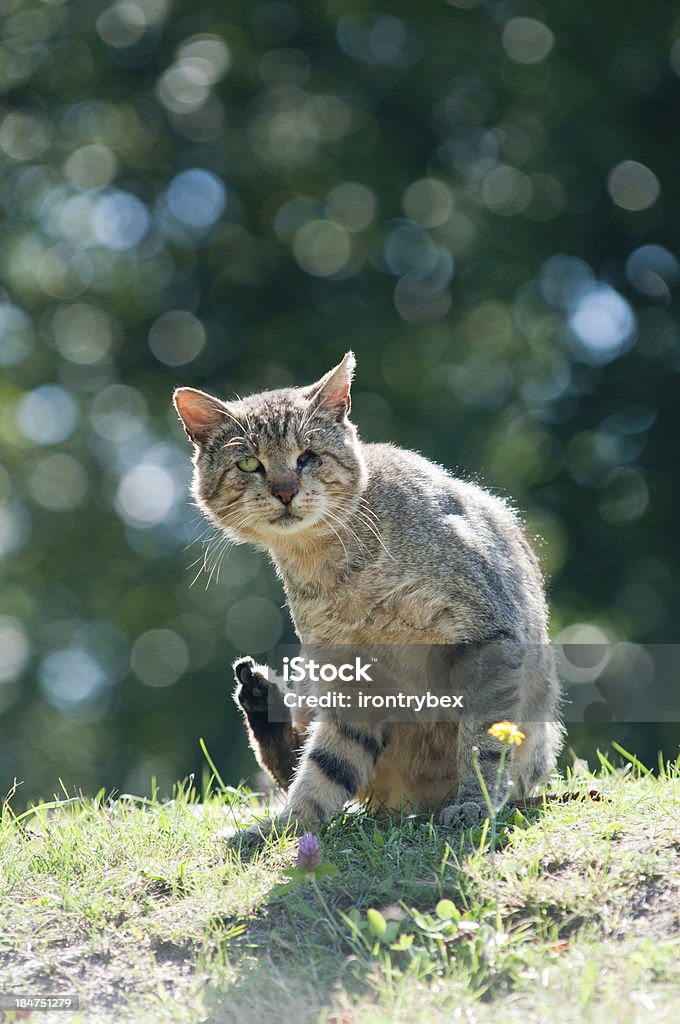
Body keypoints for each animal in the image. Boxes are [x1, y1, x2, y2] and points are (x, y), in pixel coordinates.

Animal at [175, 356, 561, 843]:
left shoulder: (488, 635)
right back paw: (260, 700)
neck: (332, 564)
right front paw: (286, 827)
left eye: (308, 456)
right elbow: (325, 768)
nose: (285, 490)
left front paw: (476, 803)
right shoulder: (349, 678)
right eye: (249, 463)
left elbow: (482, 742)